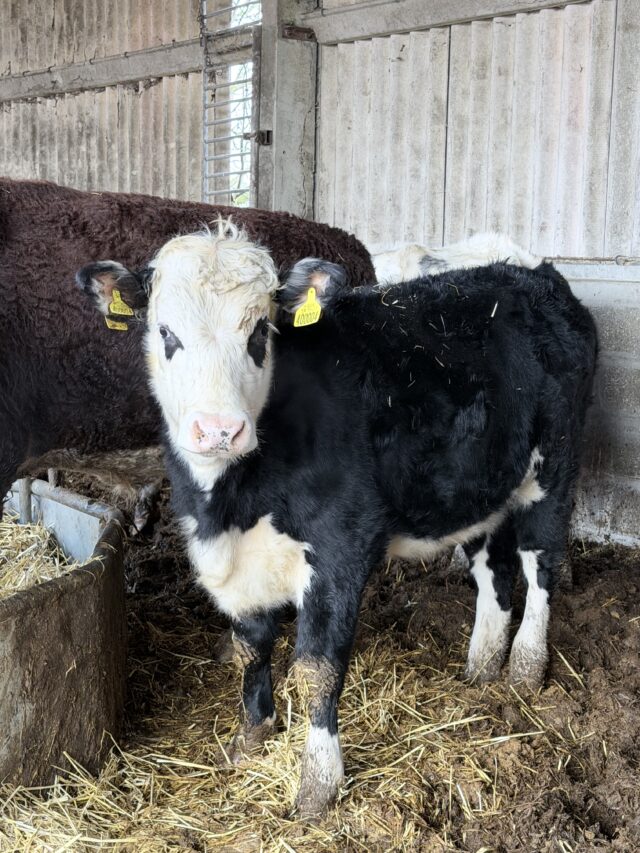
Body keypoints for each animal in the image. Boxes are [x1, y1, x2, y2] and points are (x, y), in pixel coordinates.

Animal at [77, 221, 597, 816]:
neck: (230, 505)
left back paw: (526, 669)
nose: (218, 430)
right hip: (479, 485)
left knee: (540, 562)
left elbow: (316, 669)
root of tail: (525, 269)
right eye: (166, 332)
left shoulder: (341, 551)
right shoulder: (237, 562)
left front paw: (318, 785)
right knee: (495, 569)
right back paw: (483, 666)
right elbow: (249, 646)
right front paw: (251, 736)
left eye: (260, 333)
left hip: (554, 466)